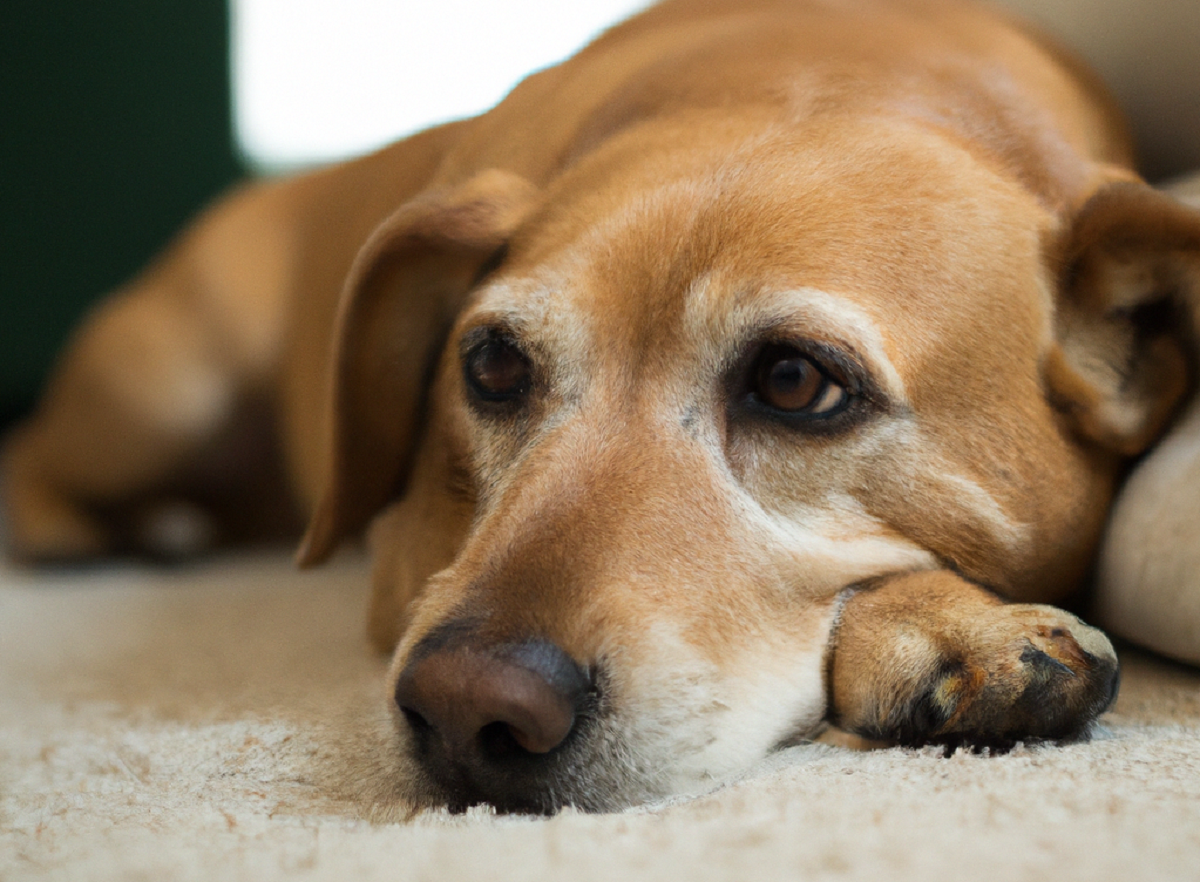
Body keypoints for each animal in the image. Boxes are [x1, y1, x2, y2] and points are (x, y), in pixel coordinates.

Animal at [2, 0, 1200, 816]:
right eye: (490, 366)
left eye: (795, 383)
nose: (467, 708)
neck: (817, 73)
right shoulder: (411, 568)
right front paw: (944, 623)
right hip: (162, 391)